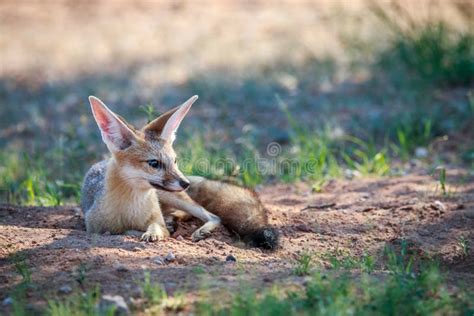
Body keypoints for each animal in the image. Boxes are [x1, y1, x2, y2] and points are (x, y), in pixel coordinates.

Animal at [81, 95, 278, 248]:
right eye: (154, 163)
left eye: (174, 161)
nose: (185, 183)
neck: (131, 209)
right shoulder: (95, 228)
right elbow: (123, 231)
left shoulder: (155, 219)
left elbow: (156, 227)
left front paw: (154, 232)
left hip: (174, 196)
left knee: (213, 216)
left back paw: (195, 228)